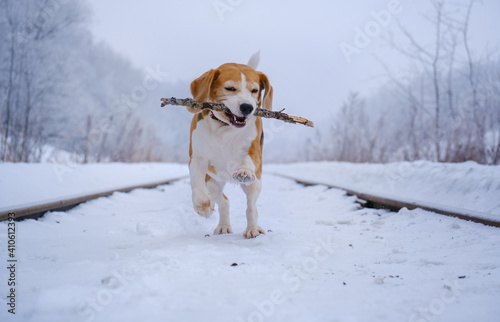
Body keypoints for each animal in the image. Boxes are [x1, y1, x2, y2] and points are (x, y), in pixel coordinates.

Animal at [188, 63, 274, 238]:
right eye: (230, 88)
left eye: (254, 90)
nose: (247, 107)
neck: (225, 127)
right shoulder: (197, 157)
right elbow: (196, 180)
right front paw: (202, 205)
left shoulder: (253, 149)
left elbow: (248, 159)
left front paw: (244, 171)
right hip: (212, 184)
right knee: (224, 202)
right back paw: (223, 225)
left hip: (255, 183)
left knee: (251, 207)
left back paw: (253, 229)